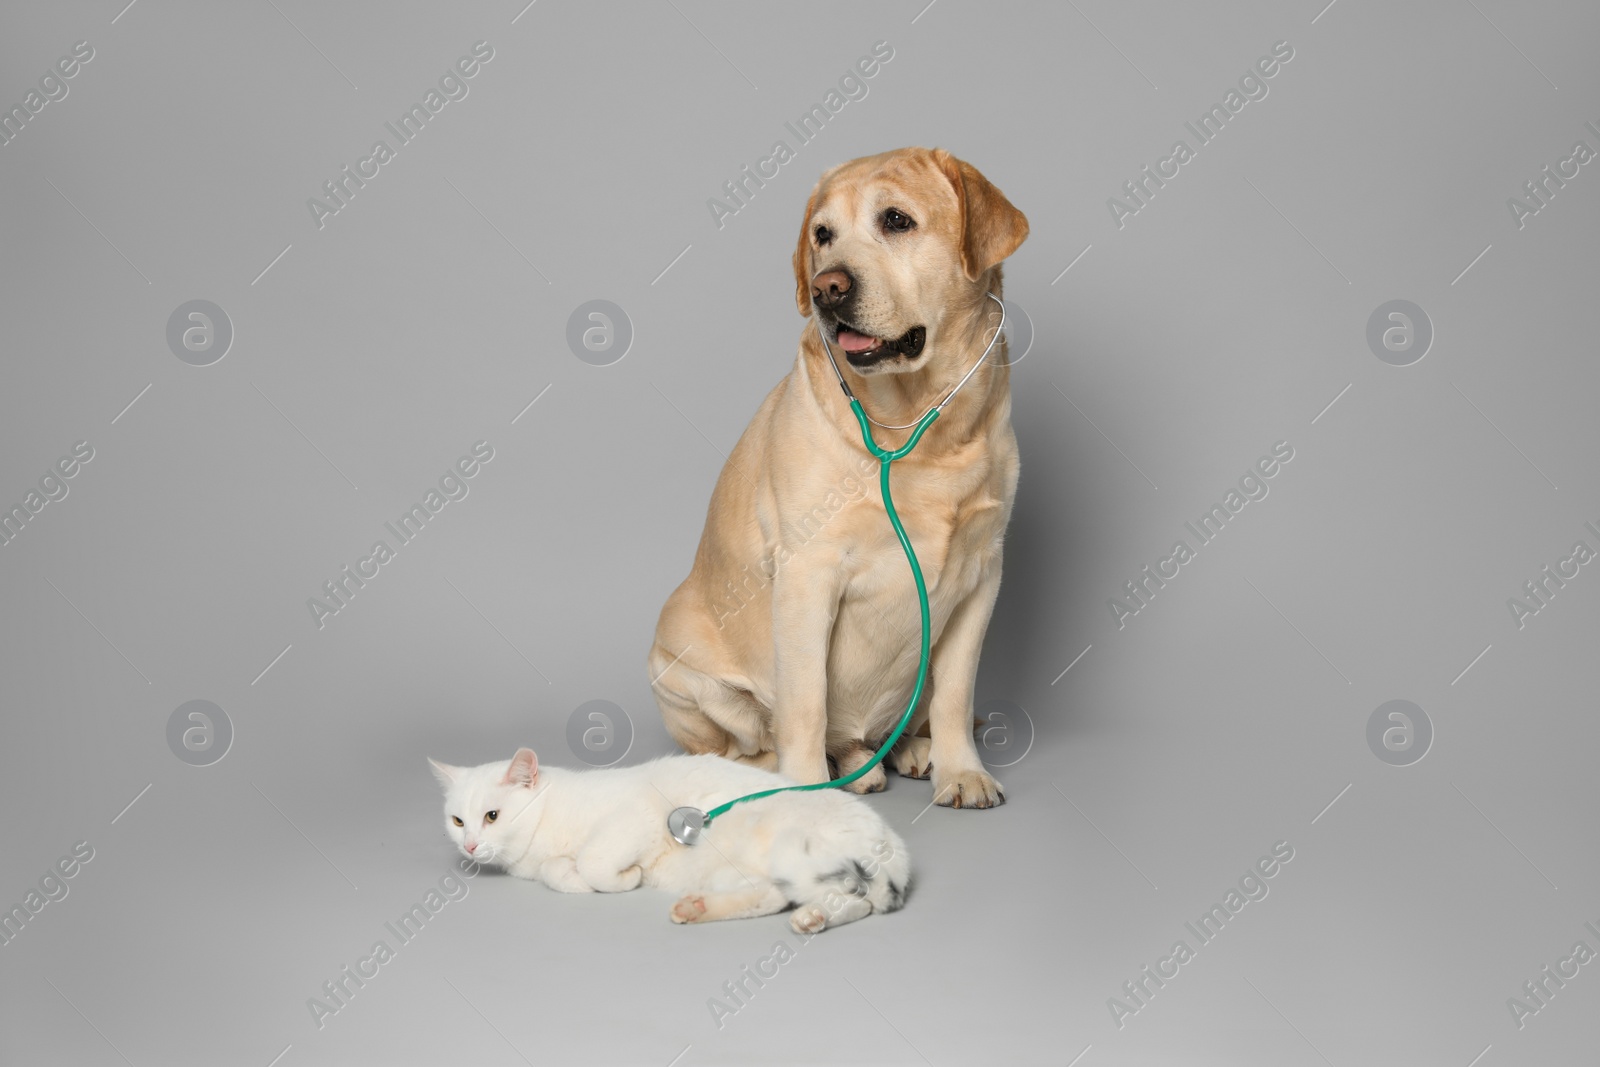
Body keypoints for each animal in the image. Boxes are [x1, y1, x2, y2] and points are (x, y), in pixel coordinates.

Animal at [428, 748, 915, 927]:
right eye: (458, 821)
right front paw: (574, 878)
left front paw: (623, 878)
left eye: (492, 816)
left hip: (796, 856)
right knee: (777, 898)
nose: (470, 845)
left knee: (853, 900)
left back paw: (810, 917)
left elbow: (593, 862)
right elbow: (559, 871)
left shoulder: (638, 817)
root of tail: (895, 848)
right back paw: (698, 909)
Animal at [646, 147, 1024, 809]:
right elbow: (805, 704)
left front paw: (961, 771)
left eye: (897, 220)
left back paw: (902, 751)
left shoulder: (983, 575)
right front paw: (805, 793)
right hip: (680, 673)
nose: (827, 287)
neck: (919, 430)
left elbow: (956, 696)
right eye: (822, 235)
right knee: (742, 746)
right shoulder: (807, 573)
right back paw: (814, 770)